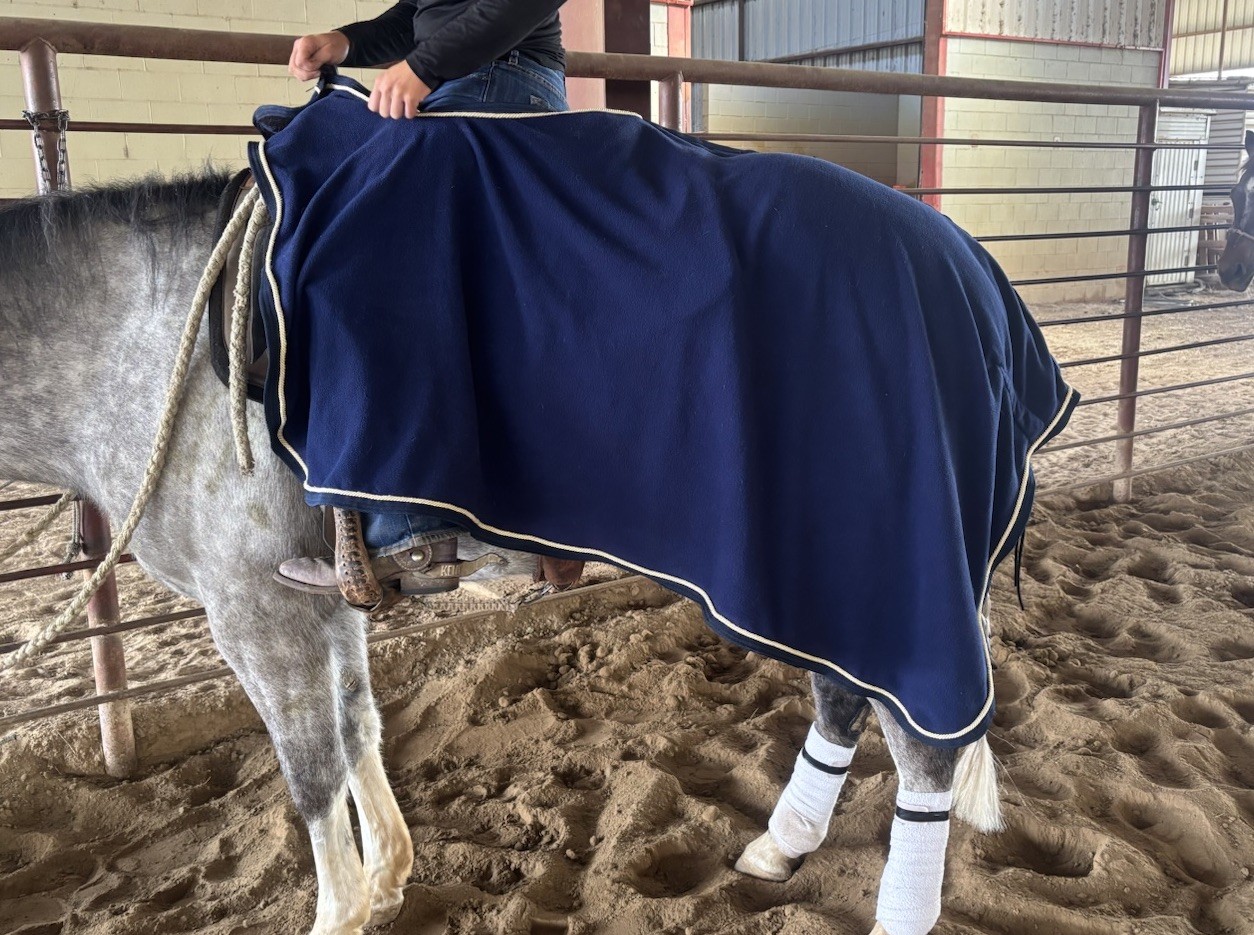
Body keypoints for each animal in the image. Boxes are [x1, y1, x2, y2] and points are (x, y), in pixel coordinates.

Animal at [0, 170, 1002, 935]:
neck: (144, 340)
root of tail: (962, 267)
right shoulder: (324, 596)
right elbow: (360, 725)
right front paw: (390, 879)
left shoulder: (257, 610)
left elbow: (310, 771)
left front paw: (343, 907)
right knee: (846, 700)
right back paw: (780, 843)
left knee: (921, 744)